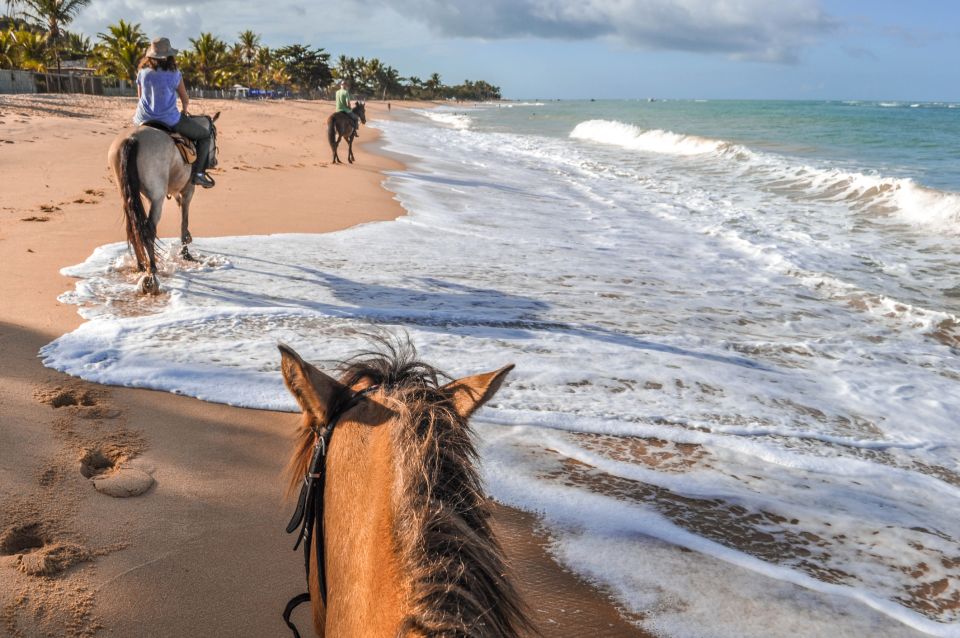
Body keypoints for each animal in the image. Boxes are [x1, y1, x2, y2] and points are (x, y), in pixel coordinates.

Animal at [108, 112, 220, 296]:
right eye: (214, 135)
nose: (214, 162)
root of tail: (132, 139)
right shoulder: (188, 190)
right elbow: (184, 220)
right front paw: (186, 253)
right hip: (157, 197)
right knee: (148, 230)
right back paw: (152, 273)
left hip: (126, 193)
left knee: (133, 227)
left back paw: (141, 265)